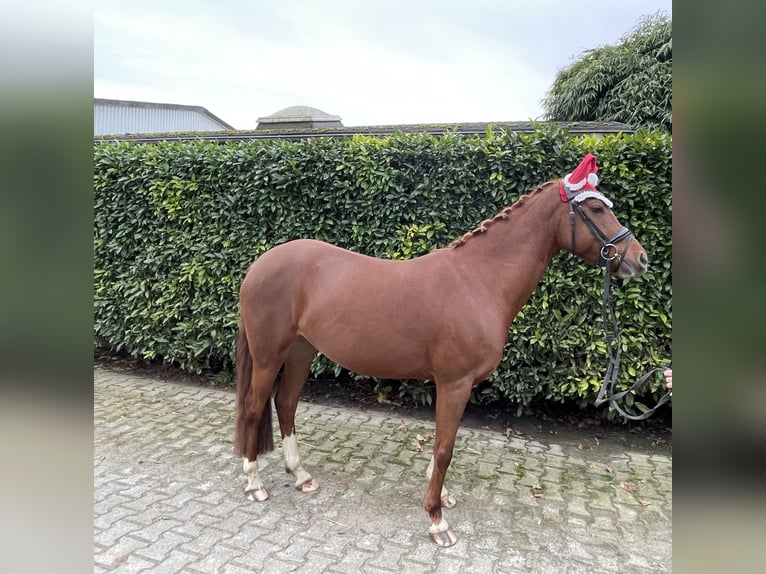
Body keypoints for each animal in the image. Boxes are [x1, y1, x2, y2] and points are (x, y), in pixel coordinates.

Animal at [232, 160, 648, 548]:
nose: (640, 259)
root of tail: (259, 265)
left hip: (301, 351)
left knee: (285, 404)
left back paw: (301, 475)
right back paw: (254, 482)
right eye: (596, 208)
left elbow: (439, 444)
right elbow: (445, 448)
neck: (478, 281)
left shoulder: (450, 384)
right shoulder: (455, 382)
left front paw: (441, 496)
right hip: (269, 355)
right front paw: (437, 520)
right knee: (254, 407)